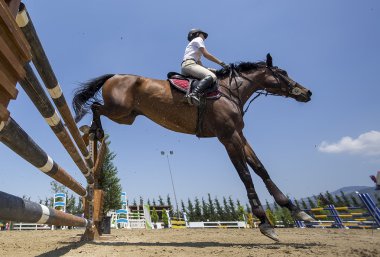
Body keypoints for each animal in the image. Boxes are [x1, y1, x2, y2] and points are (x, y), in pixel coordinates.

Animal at [72, 53, 314, 240]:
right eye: (283, 73)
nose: (307, 93)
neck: (230, 91)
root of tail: (114, 75)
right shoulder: (228, 137)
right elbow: (245, 174)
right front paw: (265, 223)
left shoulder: (240, 136)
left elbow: (261, 169)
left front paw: (297, 211)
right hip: (119, 109)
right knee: (96, 107)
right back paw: (95, 130)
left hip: (126, 116)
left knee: (97, 107)